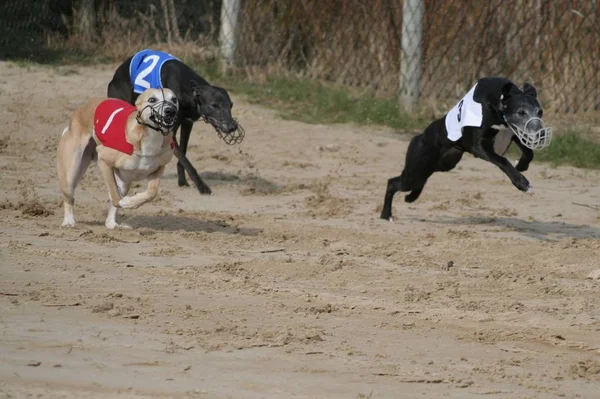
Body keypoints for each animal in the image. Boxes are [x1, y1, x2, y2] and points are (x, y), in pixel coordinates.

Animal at [57, 88, 179, 230]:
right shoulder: (103, 160)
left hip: (124, 180)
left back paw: (112, 223)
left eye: (174, 99)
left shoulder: (159, 168)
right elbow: (116, 197)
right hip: (71, 171)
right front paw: (126, 202)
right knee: (69, 196)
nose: (170, 110)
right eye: (152, 99)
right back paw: (69, 221)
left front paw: (133, 202)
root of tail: (81, 109)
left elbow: (151, 193)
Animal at [106, 49, 245, 196]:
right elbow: (184, 159)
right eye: (214, 105)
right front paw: (202, 186)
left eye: (231, 105)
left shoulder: (187, 123)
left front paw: (182, 181)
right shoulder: (169, 132)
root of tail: (116, 75)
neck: (188, 89)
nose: (232, 127)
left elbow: (183, 154)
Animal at [380, 77, 552, 222]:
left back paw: (410, 198)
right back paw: (386, 215)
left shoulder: (514, 132)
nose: (541, 134)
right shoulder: (479, 146)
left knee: (418, 182)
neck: (497, 102)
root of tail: (418, 137)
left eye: (540, 112)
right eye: (521, 112)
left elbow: (529, 152)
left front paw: (521, 165)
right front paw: (523, 183)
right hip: (416, 169)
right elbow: (502, 160)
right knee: (393, 183)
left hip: (441, 165)